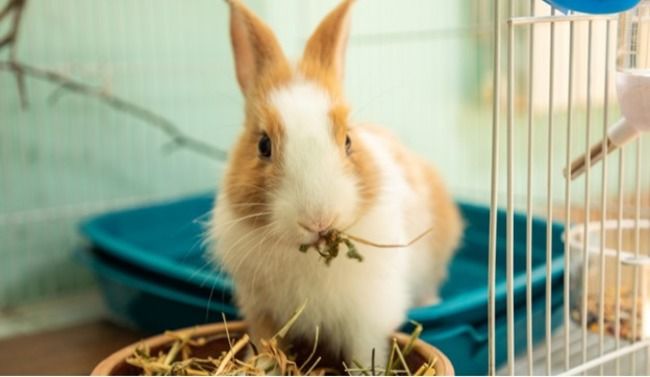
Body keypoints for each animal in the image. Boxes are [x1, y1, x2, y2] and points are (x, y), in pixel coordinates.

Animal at [209, 0, 460, 366]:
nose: (318, 220)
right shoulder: (262, 313)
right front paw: (259, 366)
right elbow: (266, 347)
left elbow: (364, 355)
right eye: (263, 145)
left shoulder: (367, 318)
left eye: (348, 141)